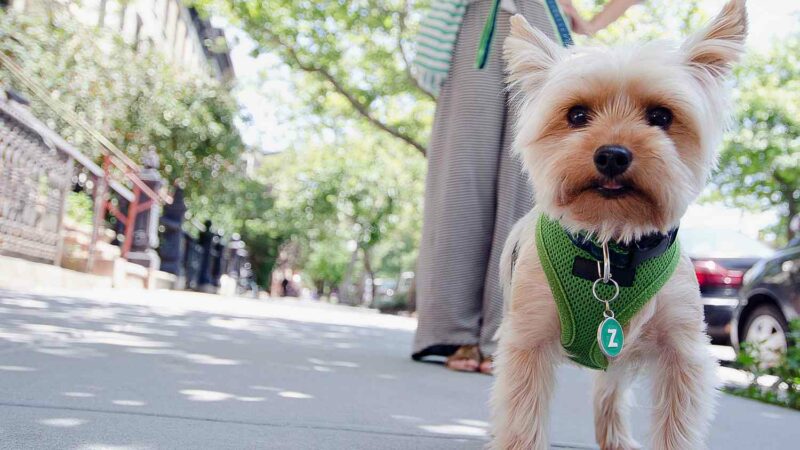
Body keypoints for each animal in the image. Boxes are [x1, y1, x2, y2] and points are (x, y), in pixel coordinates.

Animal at [490, 1, 748, 448]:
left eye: (661, 116)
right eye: (577, 115)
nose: (612, 155)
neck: (610, 242)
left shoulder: (682, 353)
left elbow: (676, 428)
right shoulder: (526, 342)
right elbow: (521, 423)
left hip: (617, 354)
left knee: (608, 396)